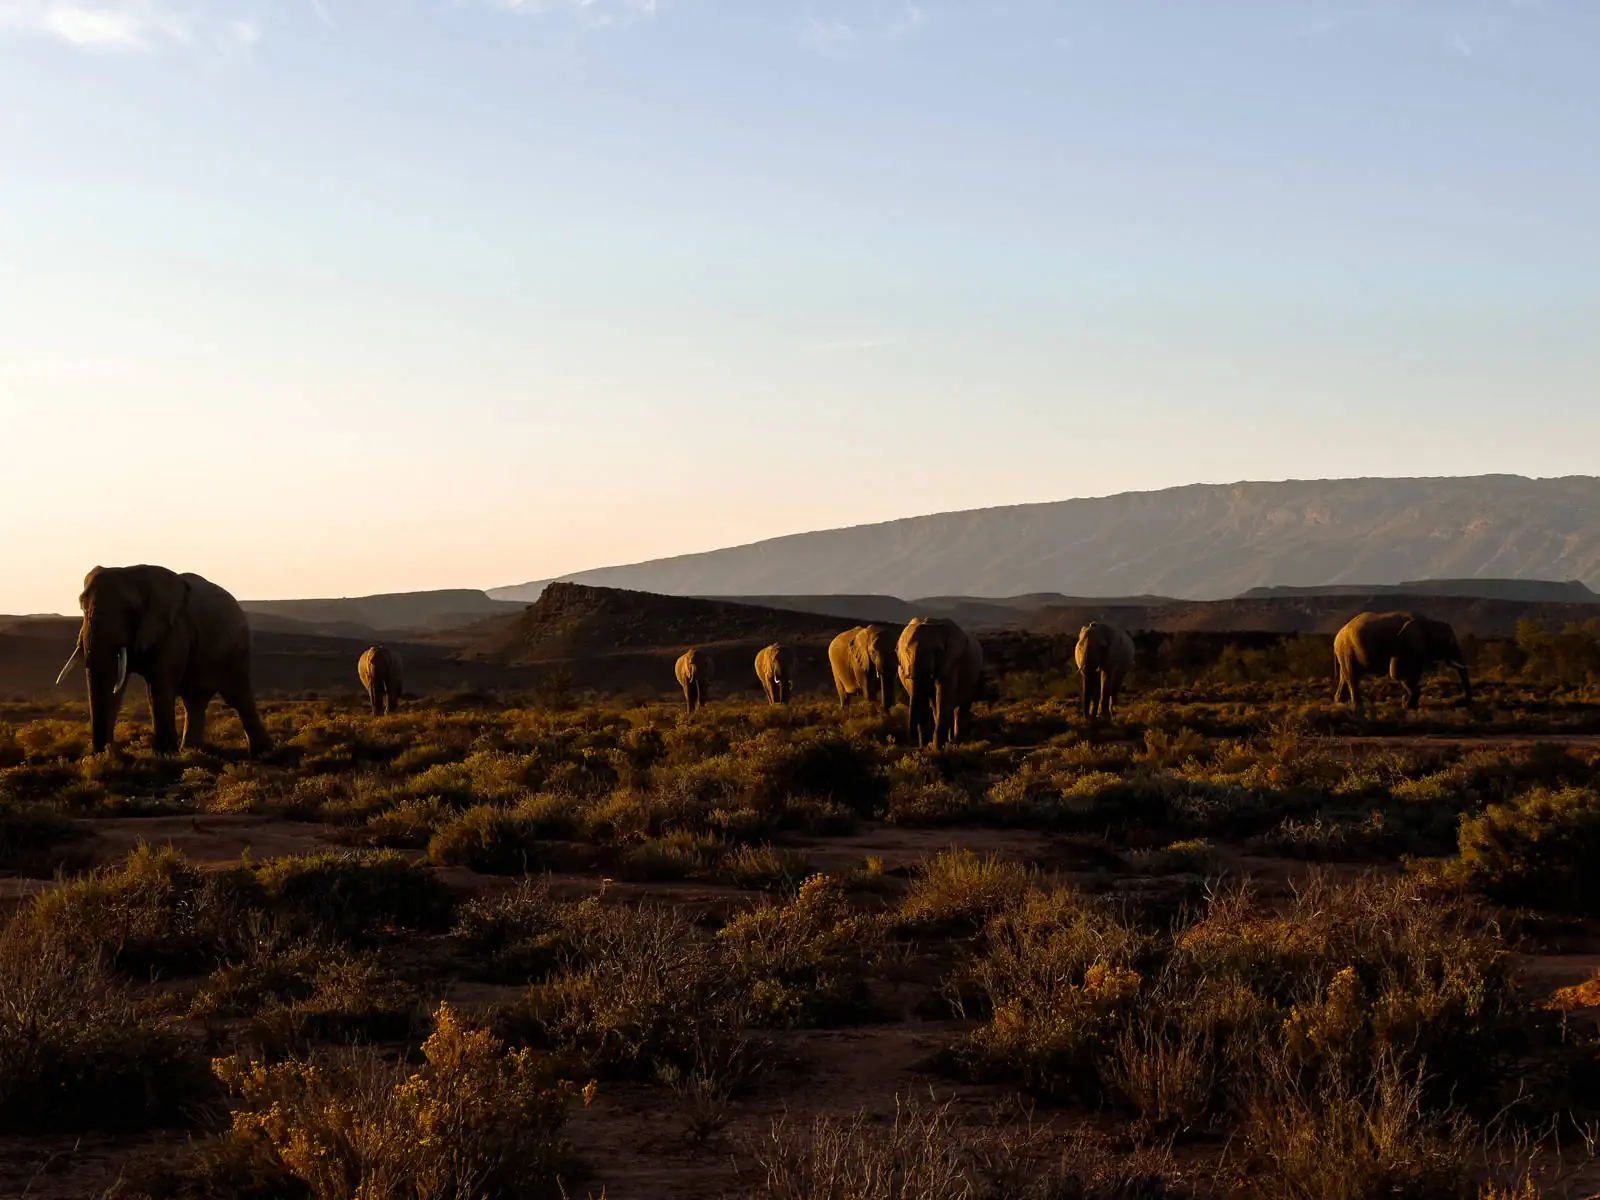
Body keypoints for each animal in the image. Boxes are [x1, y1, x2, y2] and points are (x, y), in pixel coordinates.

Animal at [53, 566, 270, 755]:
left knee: (237, 696)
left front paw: (164, 754)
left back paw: (262, 752)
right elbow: (117, 684)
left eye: (131, 611)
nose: (99, 751)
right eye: (81, 607)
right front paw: (105, 756)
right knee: (195, 700)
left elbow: (159, 684)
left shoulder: (173, 629)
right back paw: (191, 751)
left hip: (237, 646)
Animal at [896, 620, 979, 752]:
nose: (916, 747)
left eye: (937, 651)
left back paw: (957, 742)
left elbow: (944, 697)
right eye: (907, 651)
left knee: (960, 707)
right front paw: (928, 748)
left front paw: (937, 749)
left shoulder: (951, 663)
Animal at [1331, 611, 1465, 713]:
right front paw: (1407, 704)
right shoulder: (1405, 646)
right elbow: (1397, 674)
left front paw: (1408, 704)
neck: (1430, 623)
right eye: (1451, 643)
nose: (1463, 702)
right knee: (1352, 677)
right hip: (1346, 649)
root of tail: (1338, 635)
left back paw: (1339, 702)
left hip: (1346, 652)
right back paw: (1357, 708)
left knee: (1345, 676)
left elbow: (1412, 675)